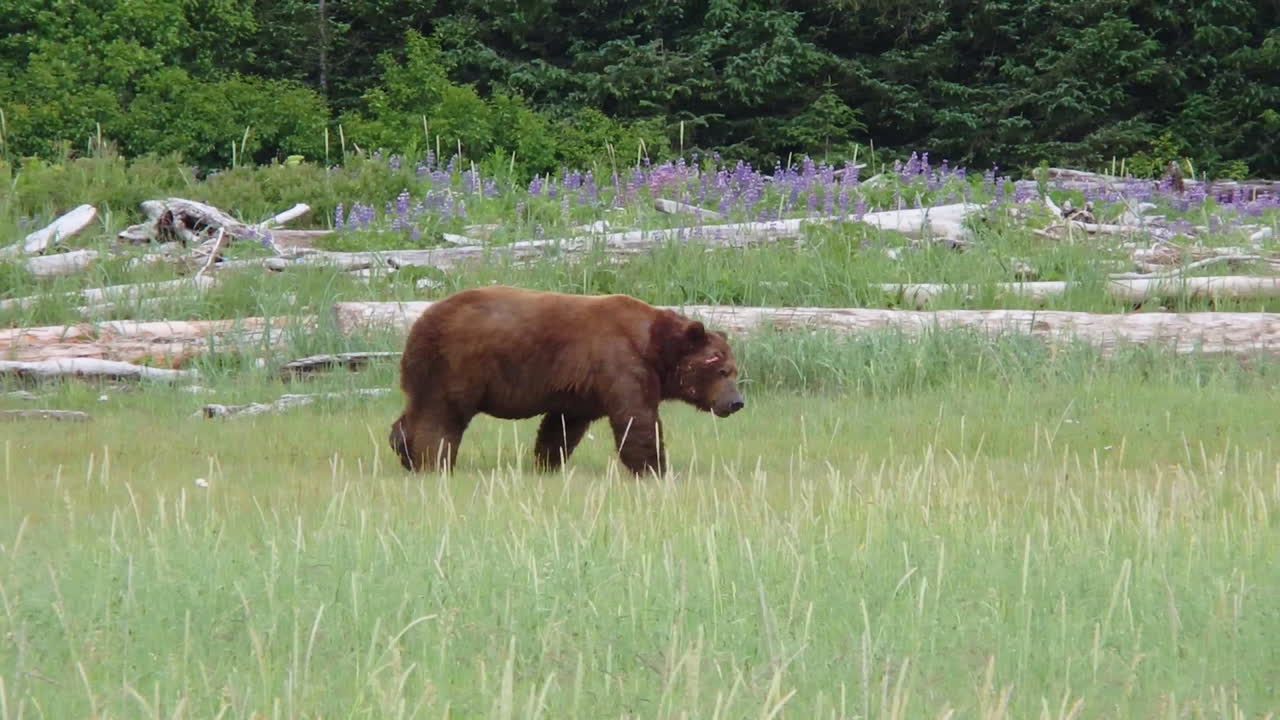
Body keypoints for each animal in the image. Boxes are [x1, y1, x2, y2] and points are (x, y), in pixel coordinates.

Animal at [388, 285, 744, 477]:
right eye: (721, 369)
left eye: (734, 369)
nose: (736, 402)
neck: (654, 348)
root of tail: (420, 322)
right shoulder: (619, 362)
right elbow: (636, 419)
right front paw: (655, 469)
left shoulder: (581, 389)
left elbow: (561, 426)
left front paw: (546, 463)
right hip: (456, 364)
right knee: (441, 415)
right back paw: (434, 462)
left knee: (416, 410)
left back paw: (404, 451)